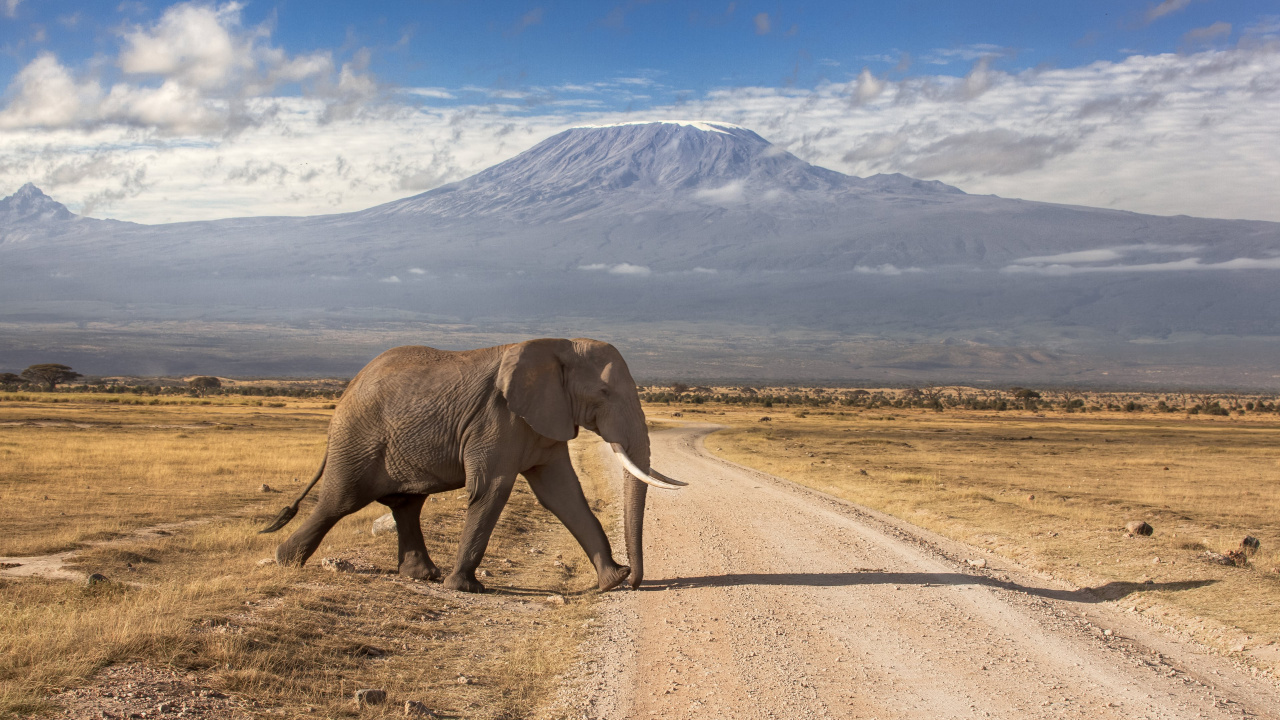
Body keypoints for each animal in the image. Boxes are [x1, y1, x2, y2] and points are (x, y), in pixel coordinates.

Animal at [259, 338, 684, 593]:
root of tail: (348, 389)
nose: (635, 581)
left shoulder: (543, 419)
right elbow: (491, 489)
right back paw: (285, 562)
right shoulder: (496, 418)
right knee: (340, 501)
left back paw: (422, 576)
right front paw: (464, 588)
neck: (558, 345)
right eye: (604, 392)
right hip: (358, 439)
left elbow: (563, 496)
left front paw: (611, 581)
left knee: (406, 505)